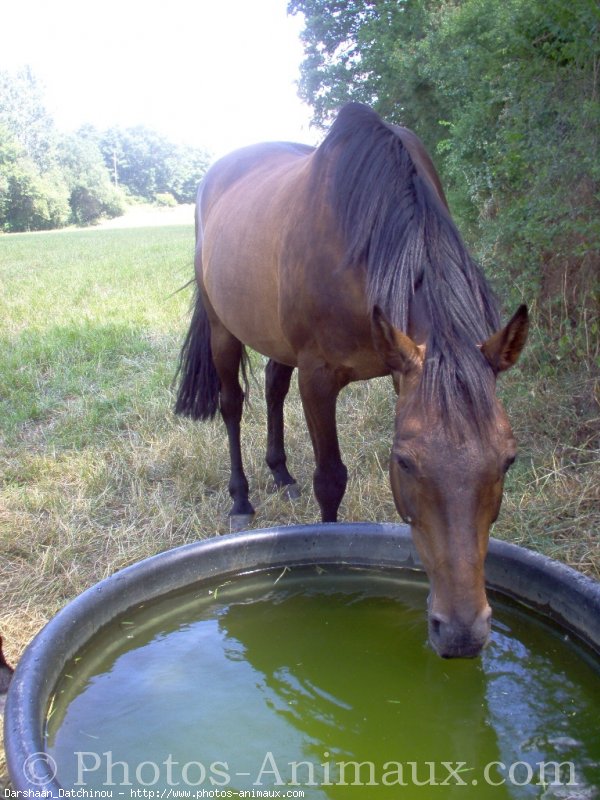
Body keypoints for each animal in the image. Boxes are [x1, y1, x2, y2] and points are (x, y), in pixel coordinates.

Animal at [176, 103, 528, 660]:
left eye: (508, 459)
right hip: (221, 327)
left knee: (273, 386)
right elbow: (331, 479)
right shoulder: (320, 378)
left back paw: (282, 475)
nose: (462, 634)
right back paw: (242, 499)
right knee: (233, 404)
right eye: (403, 461)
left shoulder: (401, 368)